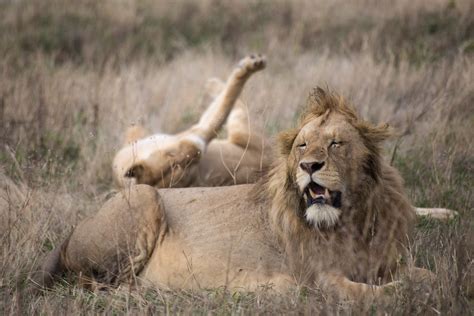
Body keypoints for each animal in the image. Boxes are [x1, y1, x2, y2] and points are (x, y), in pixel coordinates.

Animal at [33, 87, 434, 300]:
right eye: (302, 146)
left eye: (336, 143)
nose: (309, 166)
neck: (352, 220)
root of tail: (70, 234)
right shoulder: (321, 279)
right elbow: (382, 292)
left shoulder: (382, 260)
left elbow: (423, 275)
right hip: (144, 198)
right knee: (96, 284)